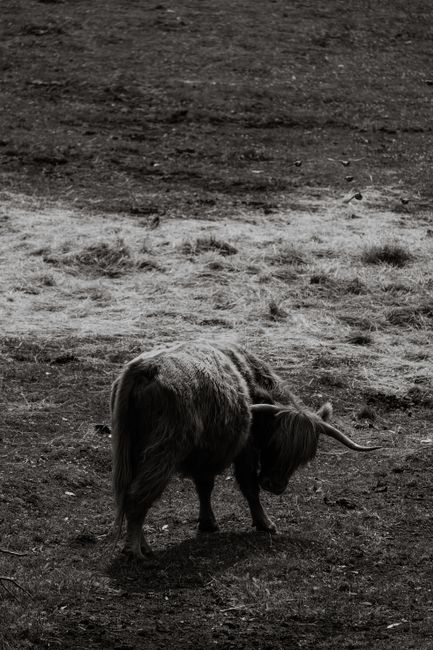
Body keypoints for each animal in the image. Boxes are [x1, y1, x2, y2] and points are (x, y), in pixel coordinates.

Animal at [111, 341, 380, 560]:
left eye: (303, 457)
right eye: (274, 444)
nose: (275, 486)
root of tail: (144, 368)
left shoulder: (206, 454)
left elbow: (204, 487)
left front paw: (208, 523)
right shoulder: (245, 450)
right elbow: (249, 487)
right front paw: (265, 523)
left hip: (130, 451)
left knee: (131, 493)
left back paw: (143, 546)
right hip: (164, 451)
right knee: (138, 496)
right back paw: (135, 550)